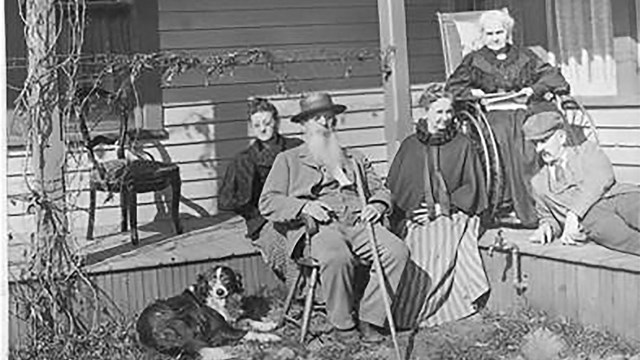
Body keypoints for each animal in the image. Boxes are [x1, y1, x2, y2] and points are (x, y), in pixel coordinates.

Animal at [136, 264, 278, 360]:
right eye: (212, 280)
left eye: (226, 279)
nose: (219, 291)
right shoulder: (222, 328)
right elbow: (247, 332)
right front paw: (269, 336)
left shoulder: (228, 321)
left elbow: (248, 320)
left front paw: (268, 324)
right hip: (189, 319)